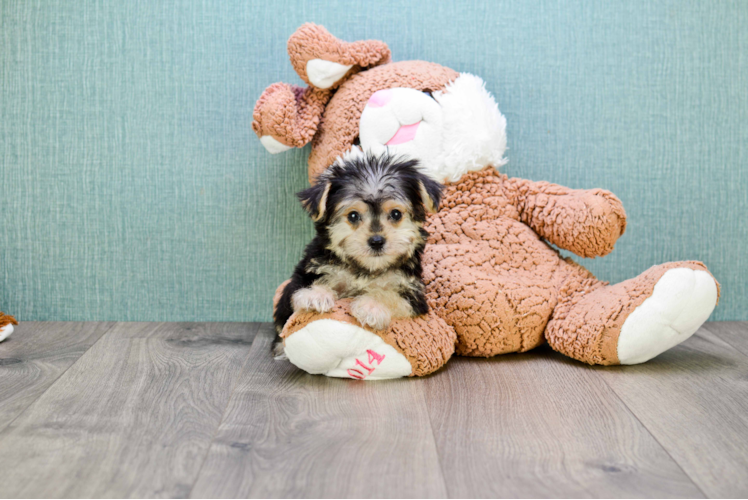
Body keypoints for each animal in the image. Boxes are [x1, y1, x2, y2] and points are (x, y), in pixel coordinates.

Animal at [274, 150, 442, 354]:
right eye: (353, 216)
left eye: (396, 214)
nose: (377, 241)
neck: (366, 269)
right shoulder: (308, 270)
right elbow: (298, 288)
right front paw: (316, 295)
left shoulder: (413, 293)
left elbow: (391, 295)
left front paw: (372, 306)